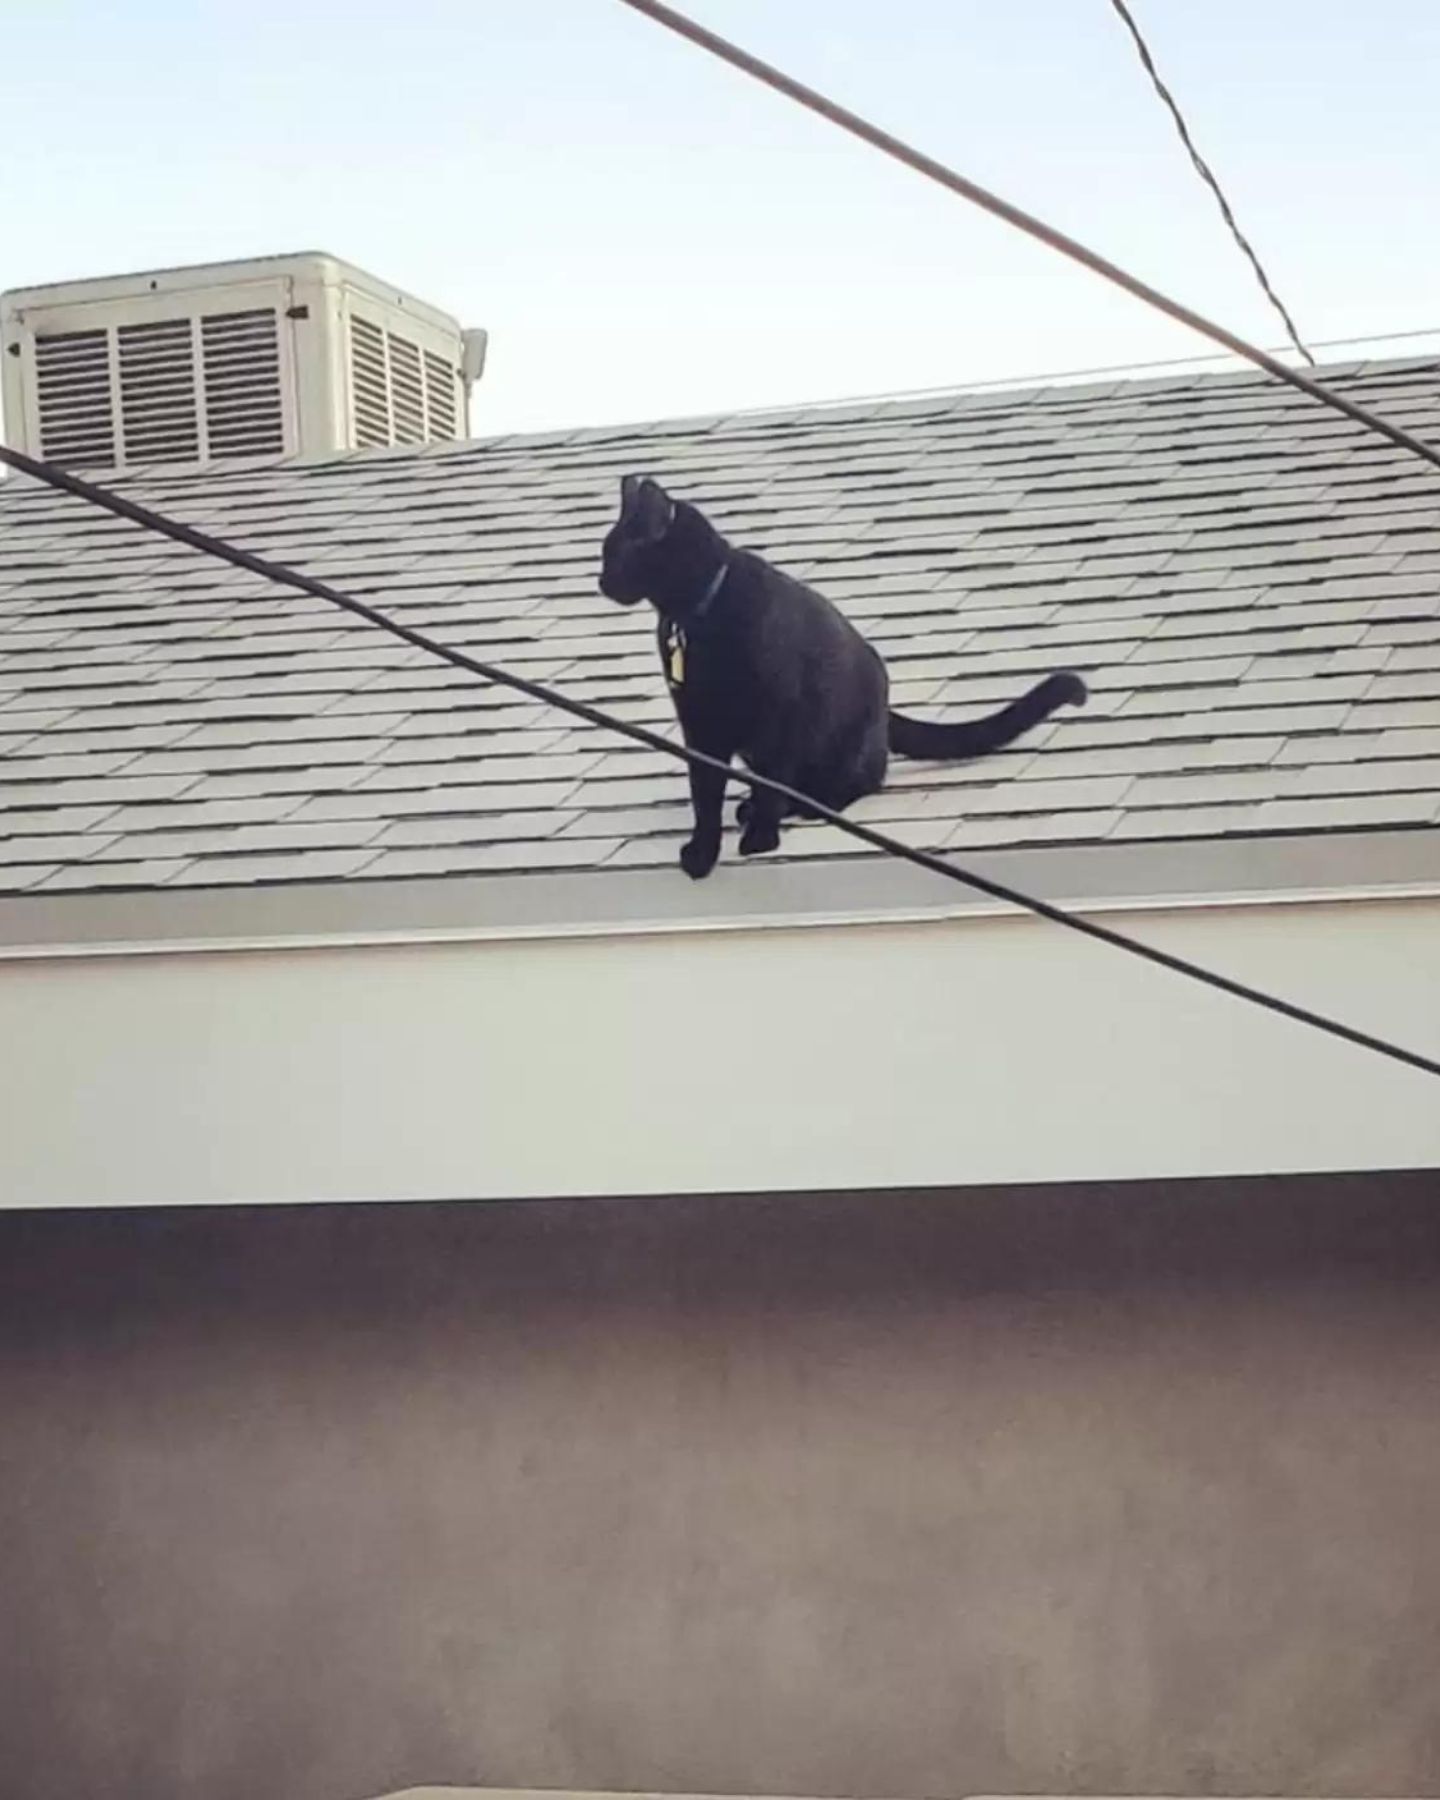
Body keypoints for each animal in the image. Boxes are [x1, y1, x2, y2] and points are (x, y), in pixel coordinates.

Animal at [594, 475, 1080, 874]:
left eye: (612, 553)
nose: (599, 580)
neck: (695, 615)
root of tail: (886, 707)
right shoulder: (700, 725)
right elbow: (704, 793)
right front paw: (702, 851)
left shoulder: (781, 710)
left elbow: (771, 781)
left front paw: (761, 838)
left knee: (860, 780)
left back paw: (807, 806)